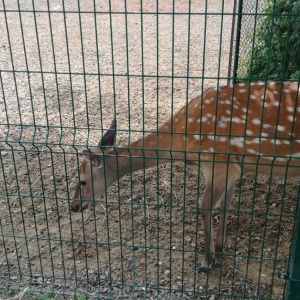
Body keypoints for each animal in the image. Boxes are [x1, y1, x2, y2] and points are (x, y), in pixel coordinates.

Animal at [71, 81, 300, 274]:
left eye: (82, 180)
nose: (73, 206)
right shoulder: (233, 168)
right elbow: (226, 204)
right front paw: (219, 246)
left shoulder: (217, 160)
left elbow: (205, 207)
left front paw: (207, 261)